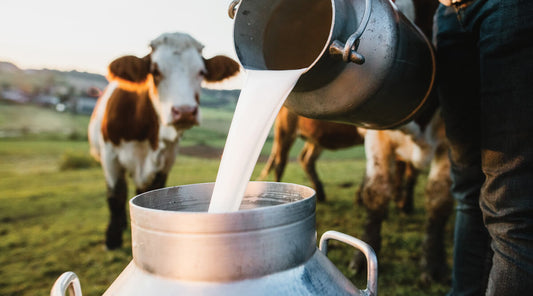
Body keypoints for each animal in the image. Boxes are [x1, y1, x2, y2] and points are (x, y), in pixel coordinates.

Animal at [89, 32, 239, 249]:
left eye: (201, 72)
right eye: (155, 71)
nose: (185, 111)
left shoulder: (166, 159)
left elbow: (150, 189)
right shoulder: (110, 155)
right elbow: (116, 195)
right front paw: (112, 239)